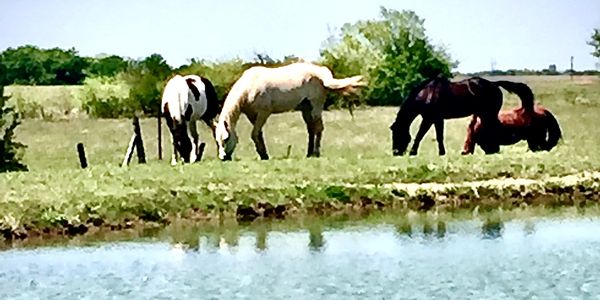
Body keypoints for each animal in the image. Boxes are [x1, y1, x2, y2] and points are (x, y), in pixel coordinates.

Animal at [216, 61, 366, 161]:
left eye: (226, 138)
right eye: (217, 140)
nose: (223, 158)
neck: (249, 88)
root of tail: (322, 74)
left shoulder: (263, 113)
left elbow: (255, 134)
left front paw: (264, 155)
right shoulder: (252, 115)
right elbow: (258, 134)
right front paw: (263, 154)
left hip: (315, 106)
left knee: (318, 128)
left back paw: (316, 153)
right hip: (306, 109)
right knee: (311, 129)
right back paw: (309, 154)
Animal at [390, 75, 536, 156]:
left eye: (396, 134)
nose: (396, 152)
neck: (427, 94)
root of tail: (494, 84)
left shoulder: (429, 118)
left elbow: (420, 135)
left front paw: (413, 152)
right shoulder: (437, 119)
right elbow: (439, 136)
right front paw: (442, 153)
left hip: (488, 113)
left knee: (494, 129)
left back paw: (492, 149)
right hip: (485, 114)